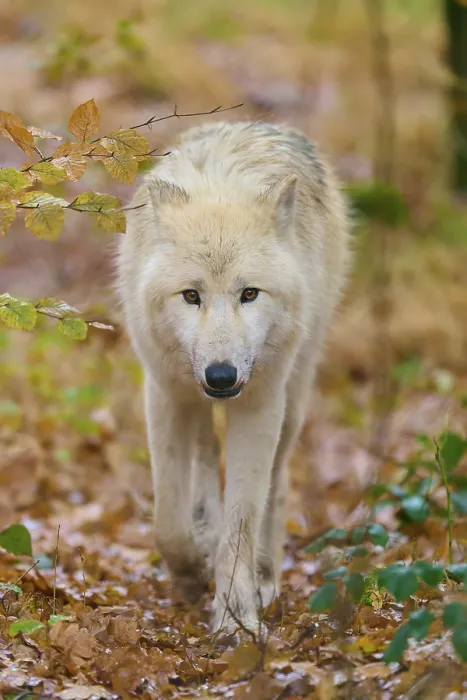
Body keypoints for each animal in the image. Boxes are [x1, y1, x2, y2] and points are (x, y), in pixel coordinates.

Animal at [117, 120, 350, 637]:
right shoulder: (163, 392)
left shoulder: (259, 402)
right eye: (191, 296)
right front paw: (190, 574)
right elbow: (167, 522)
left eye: (249, 294)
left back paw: (263, 573)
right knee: (205, 454)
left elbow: (243, 516)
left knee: (277, 483)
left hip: (293, 398)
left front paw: (235, 616)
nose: (221, 377)